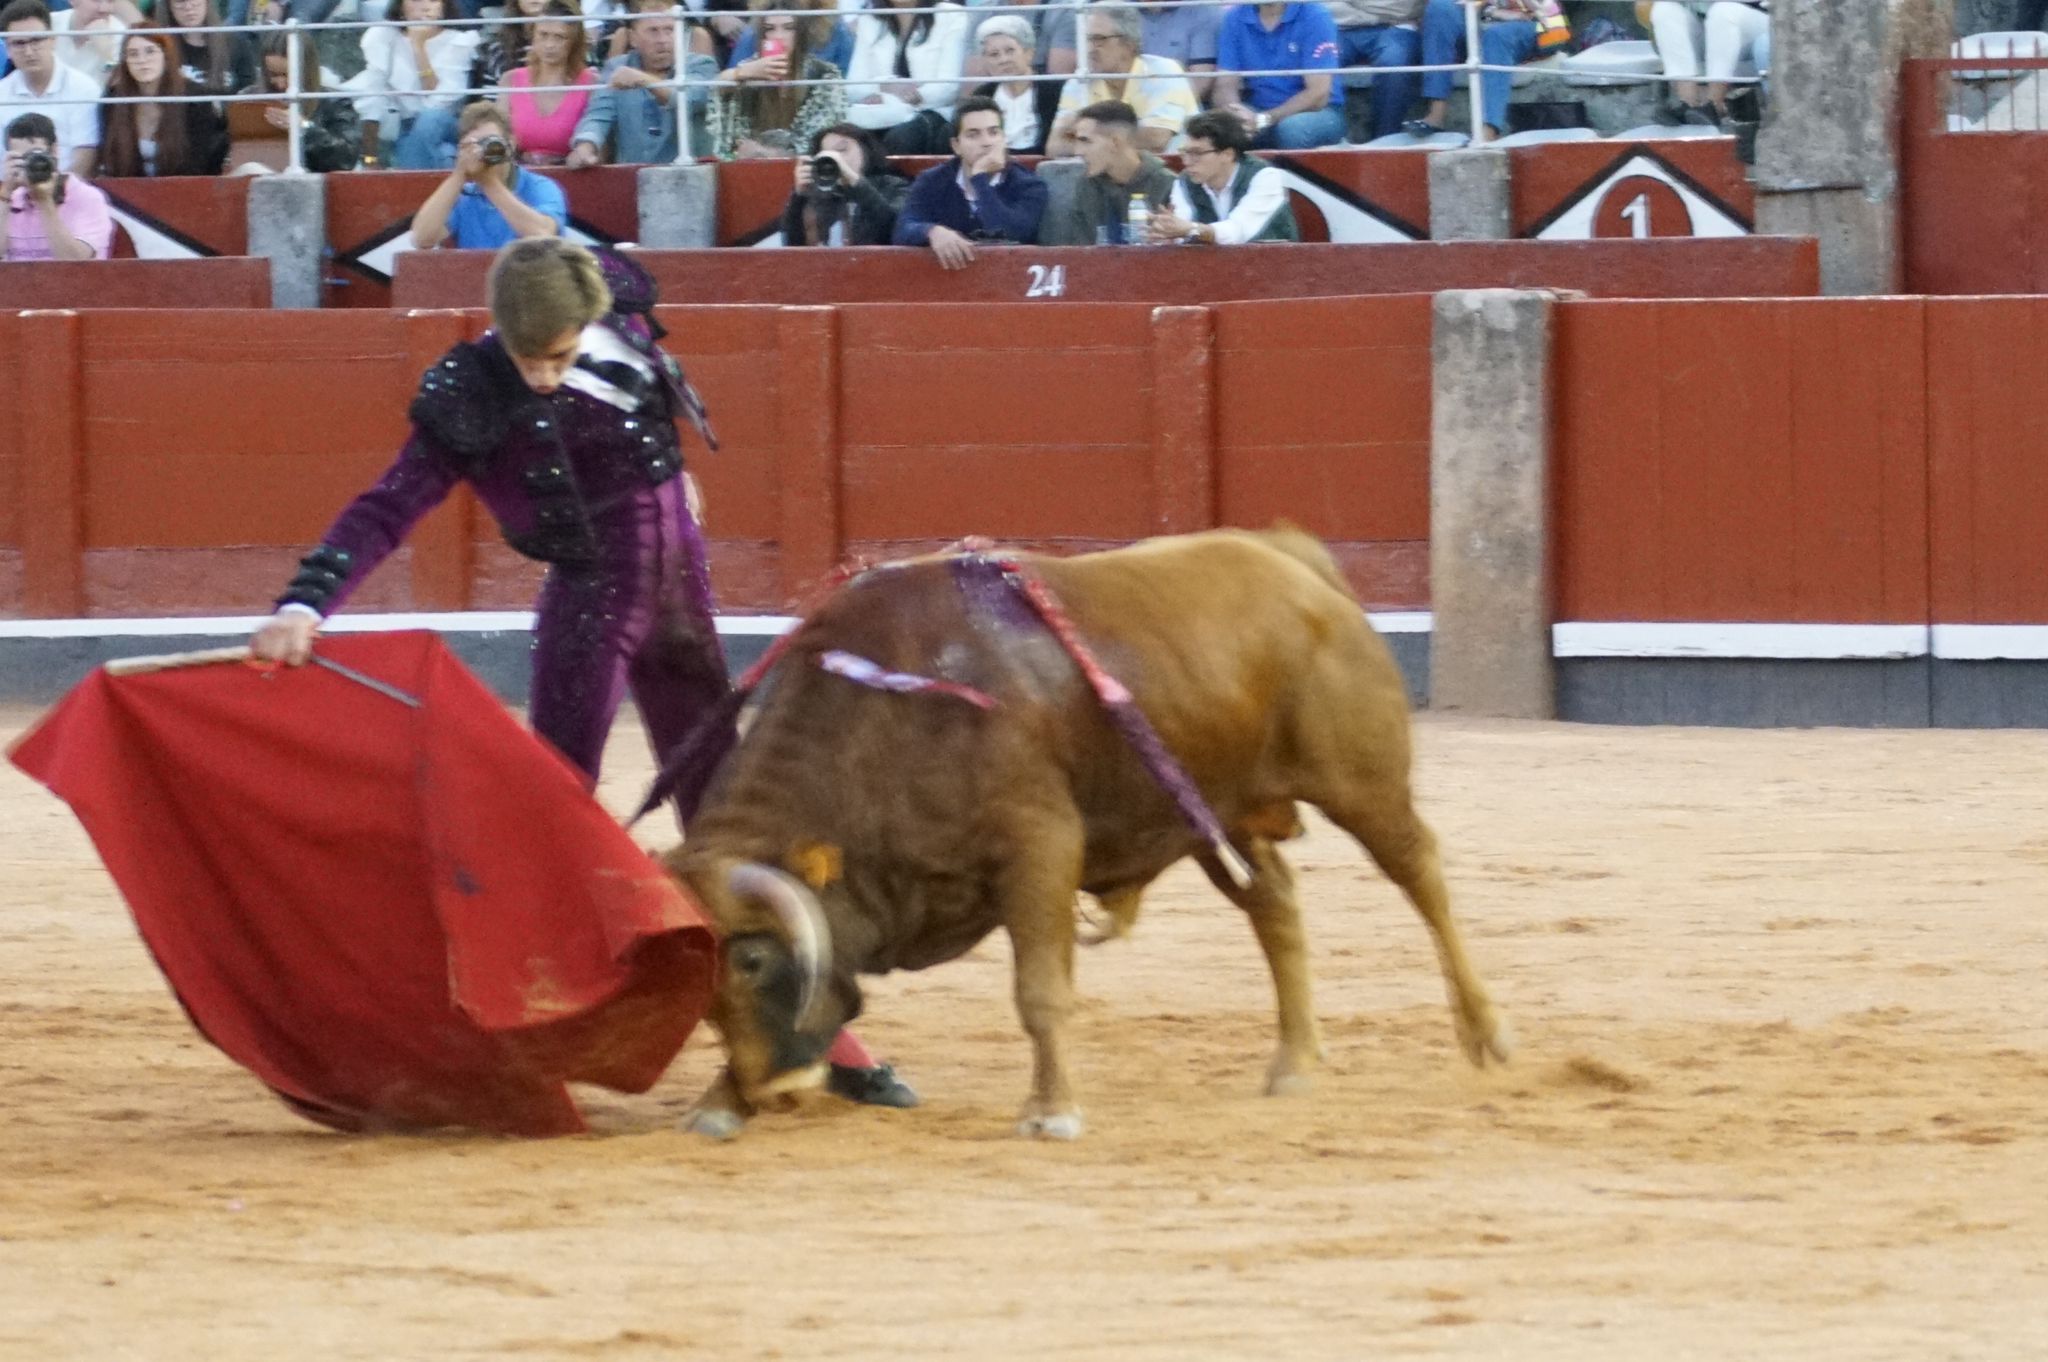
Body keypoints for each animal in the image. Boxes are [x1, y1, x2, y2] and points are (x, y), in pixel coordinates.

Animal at [663, 524, 1515, 1138]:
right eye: (701, 981)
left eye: (753, 960)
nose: (774, 1090)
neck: (886, 719)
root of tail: (1292, 561)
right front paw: (719, 1100)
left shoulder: (1039, 850)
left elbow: (1040, 990)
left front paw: (1051, 1112)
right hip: (1217, 817)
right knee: (1275, 904)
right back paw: (1294, 1064)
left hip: (1363, 787)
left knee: (1423, 878)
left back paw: (1488, 1038)